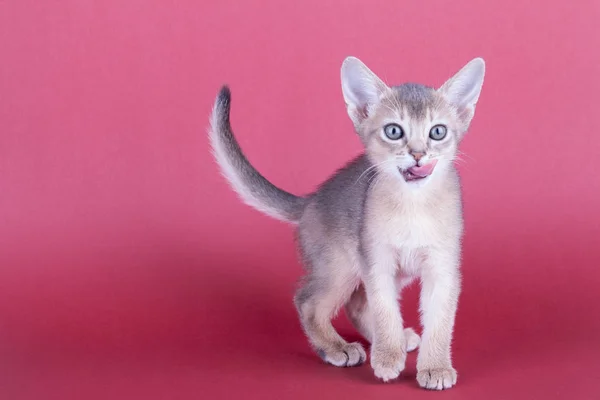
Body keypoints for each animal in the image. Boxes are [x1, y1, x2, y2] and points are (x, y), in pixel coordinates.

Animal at [209, 57, 486, 390]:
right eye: (394, 131)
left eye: (438, 132)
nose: (418, 154)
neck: (413, 205)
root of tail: (311, 200)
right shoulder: (377, 261)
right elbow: (384, 311)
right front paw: (387, 357)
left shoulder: (442, 267)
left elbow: (440, 321)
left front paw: (435, 366)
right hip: (340, 265)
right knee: (308, 301)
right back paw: (337, 348)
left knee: (357, 304)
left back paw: (392, 340)